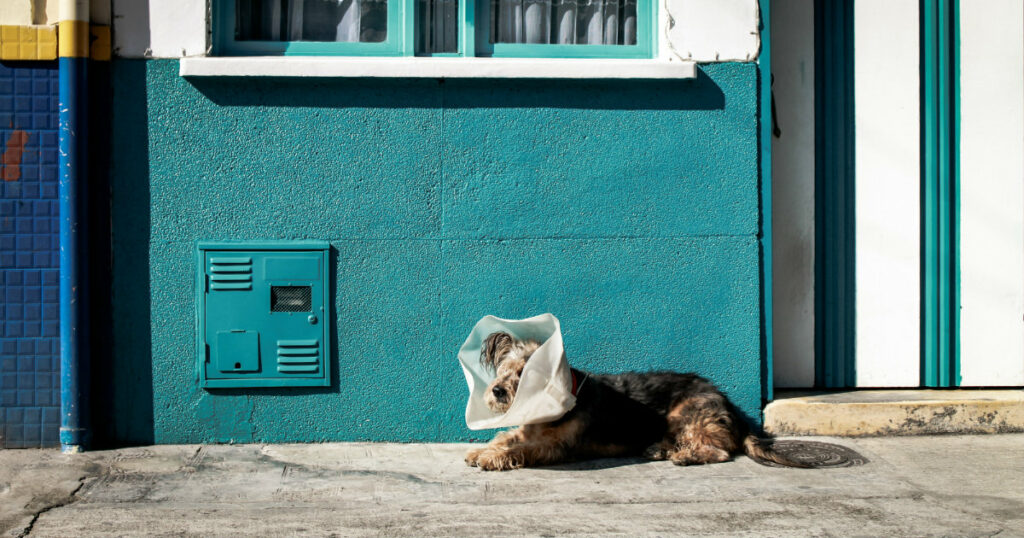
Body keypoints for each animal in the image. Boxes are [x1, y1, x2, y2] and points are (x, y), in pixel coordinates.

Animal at [464, 332, 808, 471]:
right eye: (505, 369)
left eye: (525, 373)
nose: (497, 390)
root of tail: (729, 406)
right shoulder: (527, 431)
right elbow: (506, 437)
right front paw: (482, 450)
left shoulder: (554, 446)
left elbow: (520, 449)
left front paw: (490, 458)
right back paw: (660, 449)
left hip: (684, 412)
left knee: (719, 451)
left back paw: (684, 456)